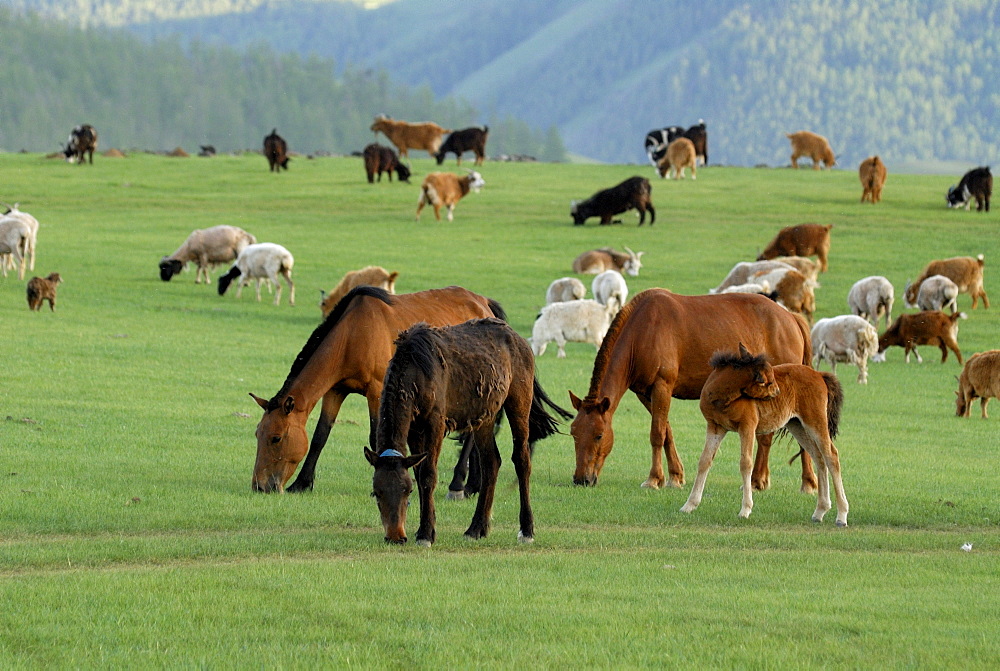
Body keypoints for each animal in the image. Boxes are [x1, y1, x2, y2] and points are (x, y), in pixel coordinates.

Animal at [247, 284, 504, 494]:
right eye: (257, 434)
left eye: (276, 438)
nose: (260, 486)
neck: (351, 335)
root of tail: (483, 303)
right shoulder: (335, 391)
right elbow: (321, 435)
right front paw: (302, 482)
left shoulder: (376, 391)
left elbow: (374, 438)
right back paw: (473, 484)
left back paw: (458, 484)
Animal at [366, 320, 572, 544]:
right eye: (377, 492)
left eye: (406, 490)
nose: (395, 536)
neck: (414, 372)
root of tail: (520, 340)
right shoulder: (413, 428)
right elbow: (419, 473)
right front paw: (426, 527)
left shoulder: (435, 422)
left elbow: (428, 474)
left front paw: (426, 533)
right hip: (485, 417)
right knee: (491, 462)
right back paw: (476, 527)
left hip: (519, 402)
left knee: (521, 460)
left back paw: (526, 530)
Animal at [568, 288, 816, 494]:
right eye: (574, 433)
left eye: (599, 435)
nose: (581, 479)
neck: (642, 332)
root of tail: (790, 317)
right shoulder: (646, 394)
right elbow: (666, 432)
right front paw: (675, 476)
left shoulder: (662, 386)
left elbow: (657, 434)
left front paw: (654, 478)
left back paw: (787, 481)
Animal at [680, 344, 852, 528]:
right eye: (765, 380)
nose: (777, 392)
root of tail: (819, 375)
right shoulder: (715, 427)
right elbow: (704, 461)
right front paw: (689, 505)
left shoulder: (747, 426)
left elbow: (745, 463)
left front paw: (745, 509)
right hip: (797, 425)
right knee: (819, 457)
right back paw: (820, 511)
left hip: (815, 422)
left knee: (831, 456)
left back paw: (841, 515)